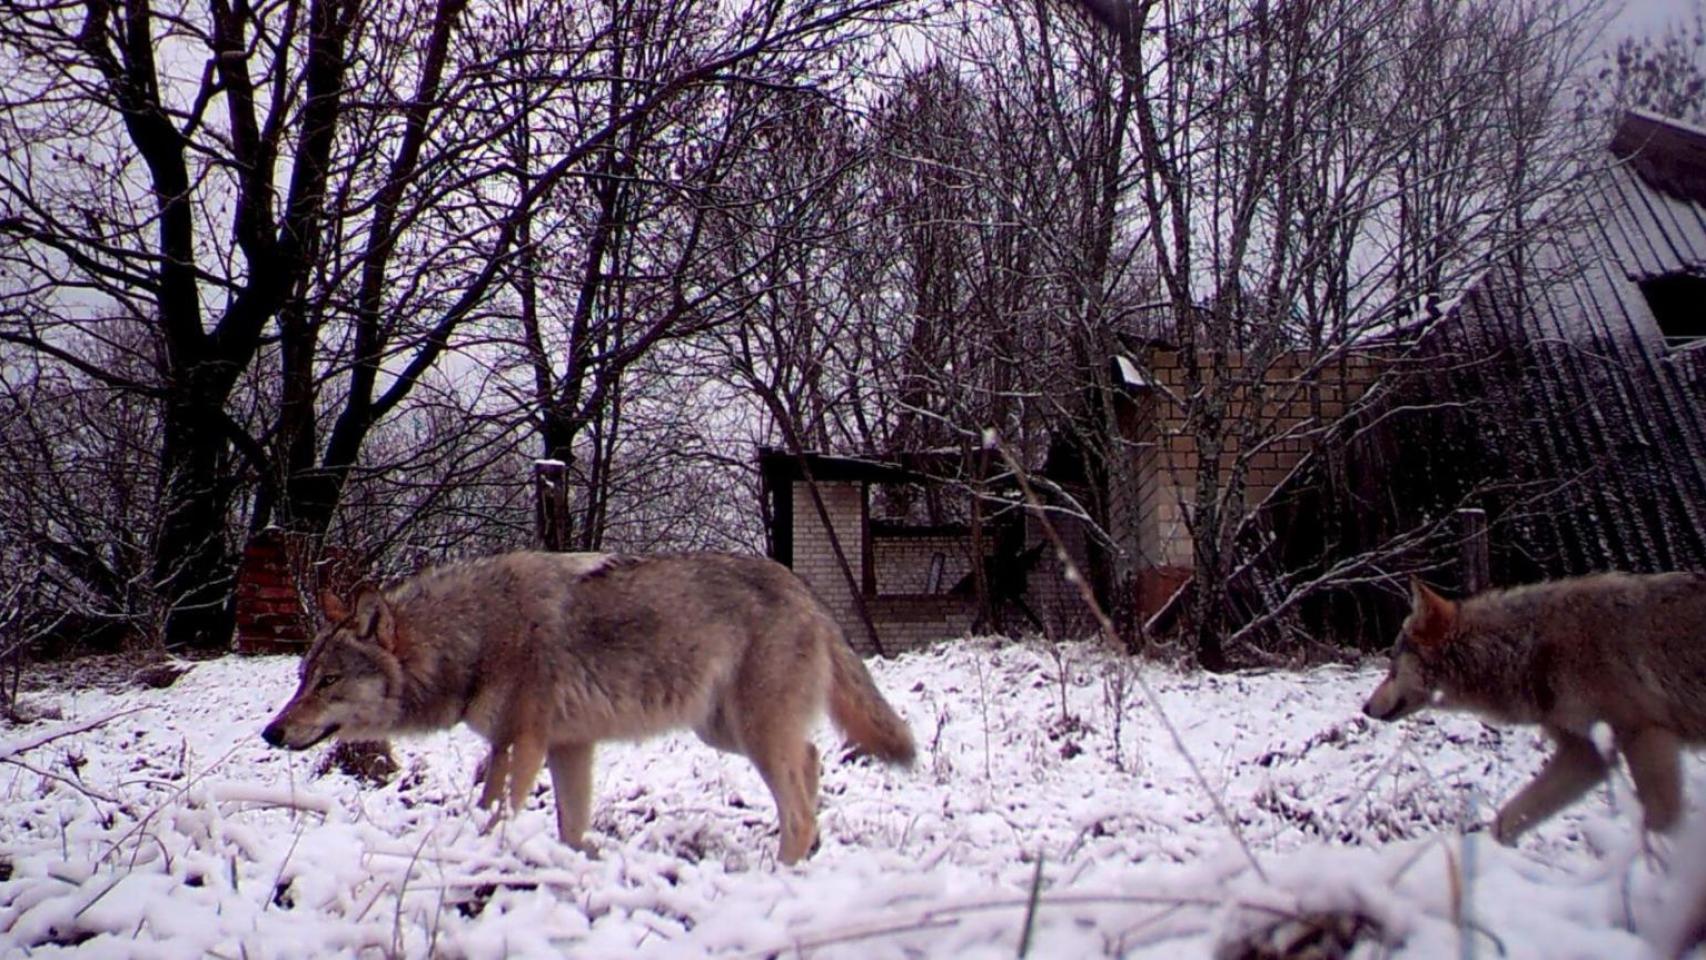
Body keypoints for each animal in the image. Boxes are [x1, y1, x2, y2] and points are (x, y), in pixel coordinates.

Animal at [261, 550, 916, 865]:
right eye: (302, 678)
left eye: (328, 681)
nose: (271, 732)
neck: (474, 636)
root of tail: (806, 591)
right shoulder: (567, 746)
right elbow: (571, 827)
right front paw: (571, 863)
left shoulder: (519, 743)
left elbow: (495, 813)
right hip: (725, 732)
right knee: (812, 759)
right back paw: (813, 853)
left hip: (750, 734)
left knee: (798, 800)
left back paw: (782, 872)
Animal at [1362, 572, 1706, 844]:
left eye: (1392, 668)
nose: (1365, 707)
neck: (1527, 648)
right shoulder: (1585, 755)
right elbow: (1507, 819)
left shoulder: (1646, 734)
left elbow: (1659, 822)